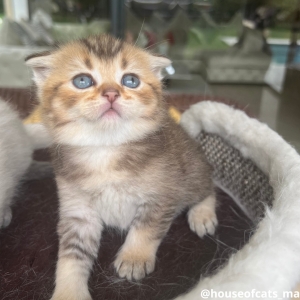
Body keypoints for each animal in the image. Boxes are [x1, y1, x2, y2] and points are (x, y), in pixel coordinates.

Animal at [25, 34, 218, 300]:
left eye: (130, 80)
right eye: (82, 81)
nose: (111, 94)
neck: (105, 150)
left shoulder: (162, 195)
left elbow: (146, 228)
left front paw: (134, 257)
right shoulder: (78, 212)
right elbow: (72, 254)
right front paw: (69, 292)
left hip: (191, 171)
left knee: (208, 186)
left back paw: (202, 214)